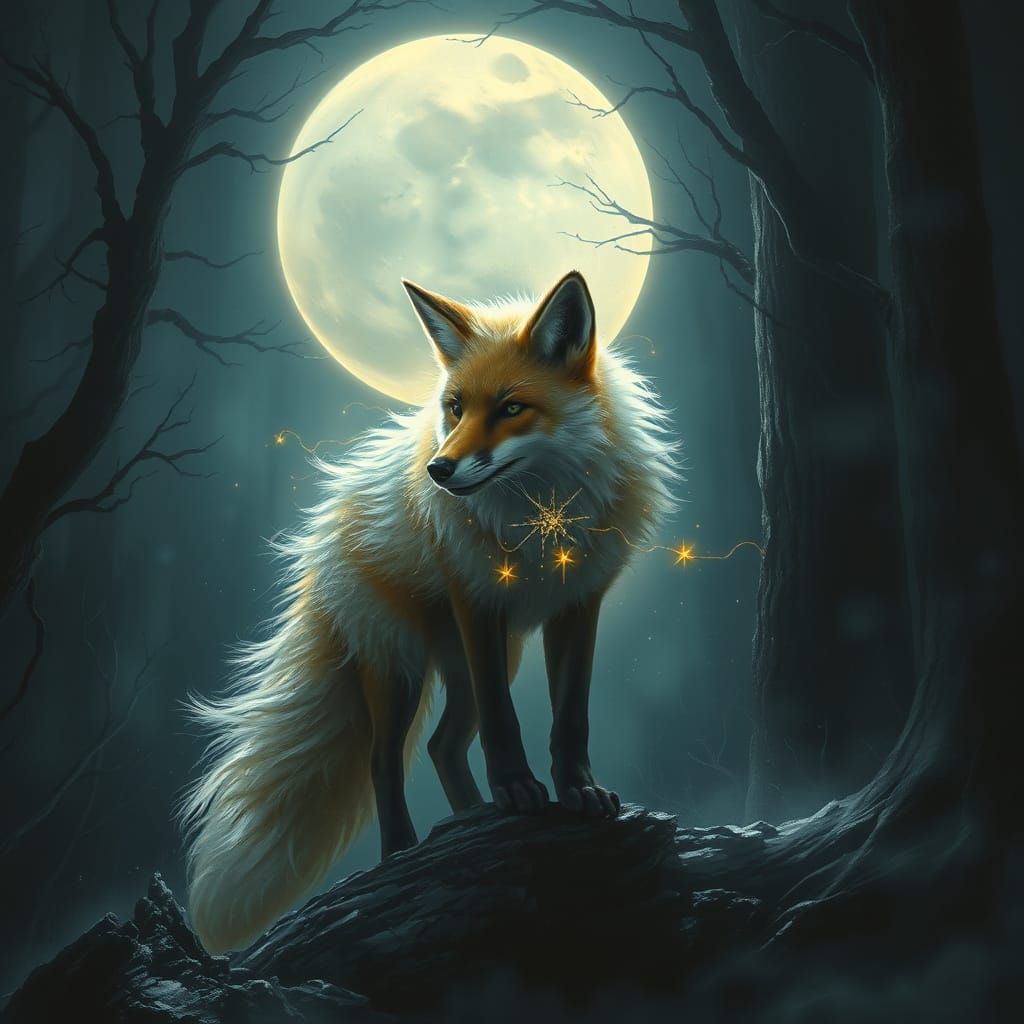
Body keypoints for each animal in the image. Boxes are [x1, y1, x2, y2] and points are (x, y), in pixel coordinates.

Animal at [181, 270, 677, 954]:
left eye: (512, 407)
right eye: (455, 407)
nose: (438, 470)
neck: (541, 516)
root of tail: (327, 523)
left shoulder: (577, 604)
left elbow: (571, 717)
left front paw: (575, 789)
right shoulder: (477, 601)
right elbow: (503, 721)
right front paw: (516, 790)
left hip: (477, 659)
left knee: (442, 745)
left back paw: (467, 820)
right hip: (401, 667)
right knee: (382, 759)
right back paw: (402, 851)